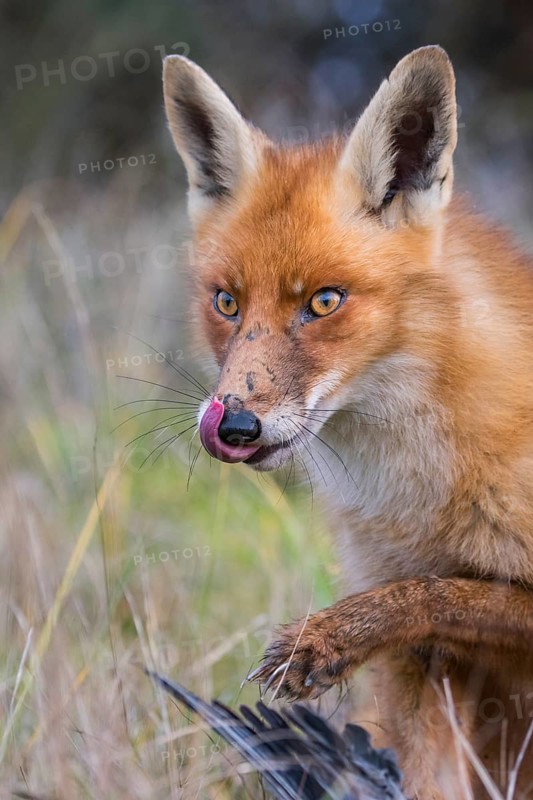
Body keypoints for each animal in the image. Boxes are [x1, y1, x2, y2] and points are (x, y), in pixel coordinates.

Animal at [162, 46, 533, 799]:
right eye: (226, 302)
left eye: (324, 301)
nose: (233, 427)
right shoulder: (418, 667)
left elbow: (439, 591)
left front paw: (325, 638)